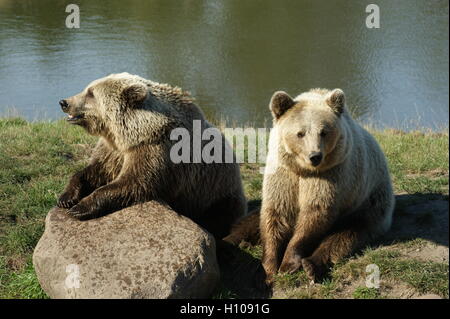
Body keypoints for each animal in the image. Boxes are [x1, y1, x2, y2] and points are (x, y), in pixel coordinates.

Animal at [57, 72, 246, 238]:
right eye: (87, 88)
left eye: (91, 93)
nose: (64, 102)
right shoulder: (113, 149)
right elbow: (96, 170)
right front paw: (66, 198)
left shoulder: (156, 151)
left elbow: (136, 182)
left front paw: (80, 208)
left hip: (214, 193)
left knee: (220, 216)